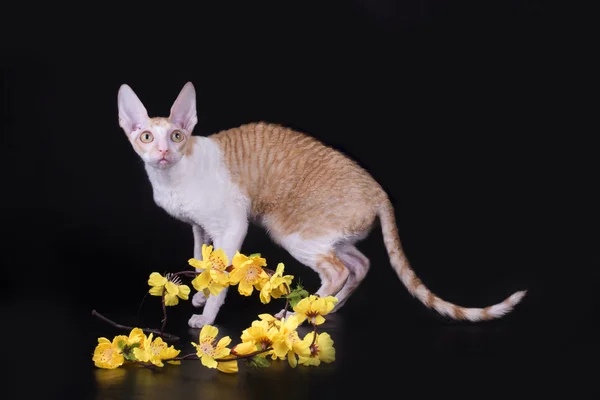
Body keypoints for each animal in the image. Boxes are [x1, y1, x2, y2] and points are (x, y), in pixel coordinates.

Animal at [116, 80, 524, 328]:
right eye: (147, 136)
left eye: (177, 136)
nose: (163, 152)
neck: (173, 181)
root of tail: (379, 191)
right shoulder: (199, 228)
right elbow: (203, 262)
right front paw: (200, 294)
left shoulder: (231, 225)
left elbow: (223, 274)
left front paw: (207, 318)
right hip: (330, 235)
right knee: (361, 263)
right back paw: (331, 307)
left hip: (290, 229)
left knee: (338, 271)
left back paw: (300, 313)